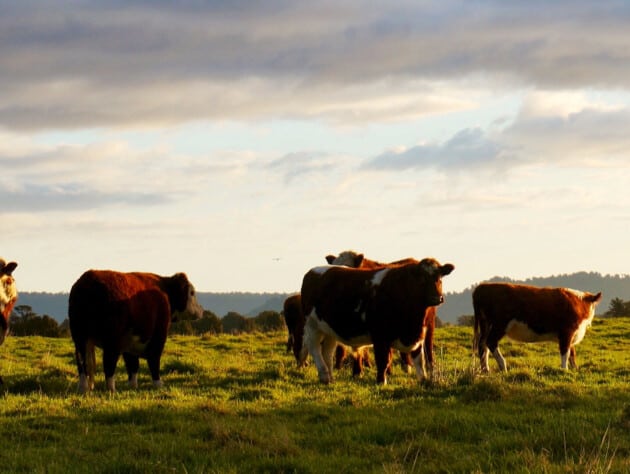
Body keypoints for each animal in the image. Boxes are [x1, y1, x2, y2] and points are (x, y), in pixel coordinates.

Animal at [69, 270, 204, 392]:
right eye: (192, 293)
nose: (201, 310)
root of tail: (89, 280)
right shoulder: (158, 335)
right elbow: (154, 359)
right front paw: (158, 384)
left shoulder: (129, 341)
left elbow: (132, 363)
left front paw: (132, 385)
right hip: (111, 339)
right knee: (108, 362)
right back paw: (111, 389)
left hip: (80, 337)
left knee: (82, 363)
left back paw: (83, 388)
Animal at [302, 260, 454, 386]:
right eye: (422, 279)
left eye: (440, 278)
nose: (437, 298)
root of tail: (313, 271)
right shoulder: (380, 336)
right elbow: (383, 360)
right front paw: (381, 381)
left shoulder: (418, 334)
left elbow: (419, 360)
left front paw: (423, 380)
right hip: (312, 325)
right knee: (314, 349)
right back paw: (324, 375)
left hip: (329, 329)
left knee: (327, 352)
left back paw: (330, 378)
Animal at [474, 284, 604, 372]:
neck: (578, 303)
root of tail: (482, 286)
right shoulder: (567, 332)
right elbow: (565, 352)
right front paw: (564, 369)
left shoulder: (570, 335)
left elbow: (572, 353)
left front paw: (574, 369)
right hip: (500, 325)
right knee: (490, 342)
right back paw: (503, 365)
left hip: (486, 324)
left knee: (482, 345)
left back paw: (485, 370)